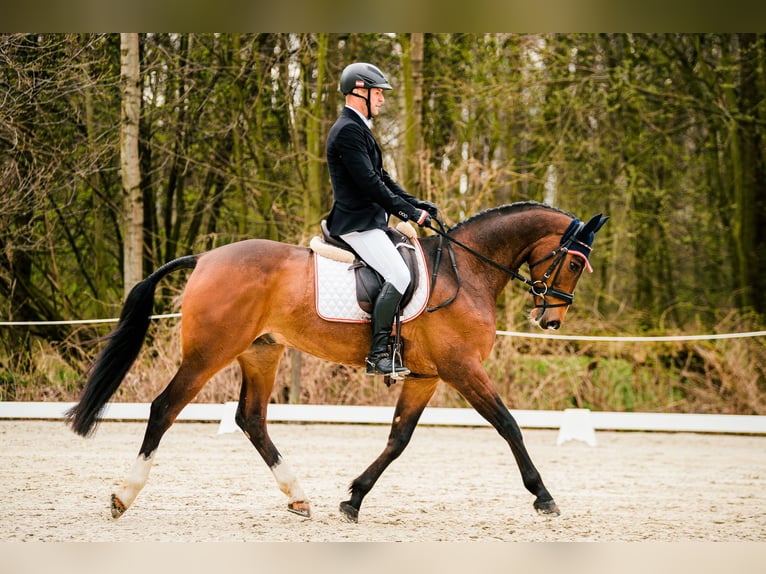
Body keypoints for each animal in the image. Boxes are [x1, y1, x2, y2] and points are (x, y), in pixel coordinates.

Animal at [67, 202, 608, 528]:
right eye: (574, 263)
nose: (551, 319)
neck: (468, 271)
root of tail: (203, 258)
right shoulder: (462, 369)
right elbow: (508, 425)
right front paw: (543, 496)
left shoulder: (428, 376)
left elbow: (397, 439)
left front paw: (353, 498)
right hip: (209, 353)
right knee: (164, 408)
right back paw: (123, 497)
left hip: (261, 352)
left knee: (251, 419)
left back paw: (298, 497)